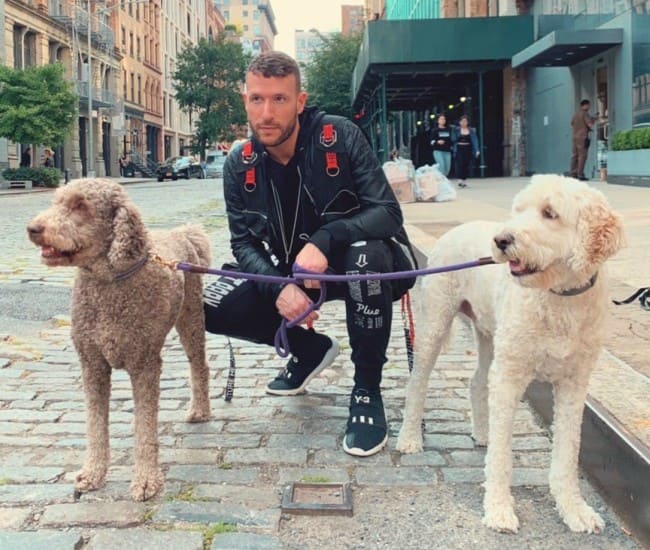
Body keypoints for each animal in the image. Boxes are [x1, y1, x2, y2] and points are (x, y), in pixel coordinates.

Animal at [27, 179, 210, 502]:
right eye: (57, 201)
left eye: (80, 206)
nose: (33, 228)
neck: (108, 282)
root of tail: (181, 232)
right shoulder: (92, 364)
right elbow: (95, 425)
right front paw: (93, 473)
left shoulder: (145, 365)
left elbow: (145, 427)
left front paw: (146, 480)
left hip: (190, 319)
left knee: (199, 365)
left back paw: (200, 410)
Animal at [394, 176, 624, 536]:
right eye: (518, 210)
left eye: (549, 213)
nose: (501, 239)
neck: (559, 298)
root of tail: (457, 230)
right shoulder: (510, 376)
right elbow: (502, 456)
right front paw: (499, 509)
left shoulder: (573, 385)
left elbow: (567, 452)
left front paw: (574, 508)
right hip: (435, 324)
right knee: (417, 383)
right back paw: (409, 438)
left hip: (490, 334)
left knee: (476, 382)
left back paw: (482, 433)